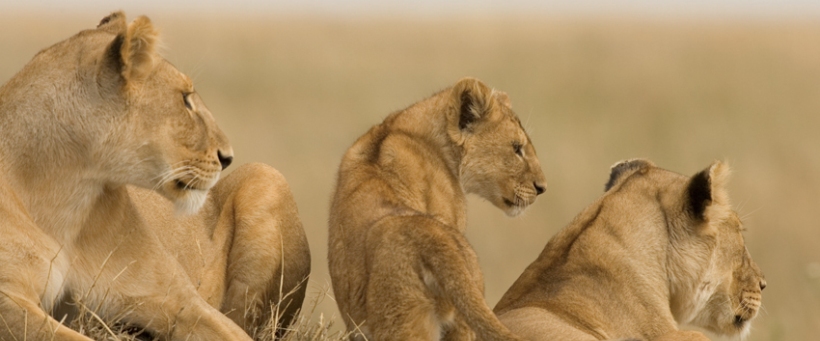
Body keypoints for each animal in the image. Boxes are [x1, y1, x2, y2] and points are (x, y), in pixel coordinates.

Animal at [0, 11, 308, 340]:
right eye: (185, 99)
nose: (227, 157)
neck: (71, 194)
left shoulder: (178, 300)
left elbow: (232, 332)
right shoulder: (8, 300)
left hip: (267, 176)